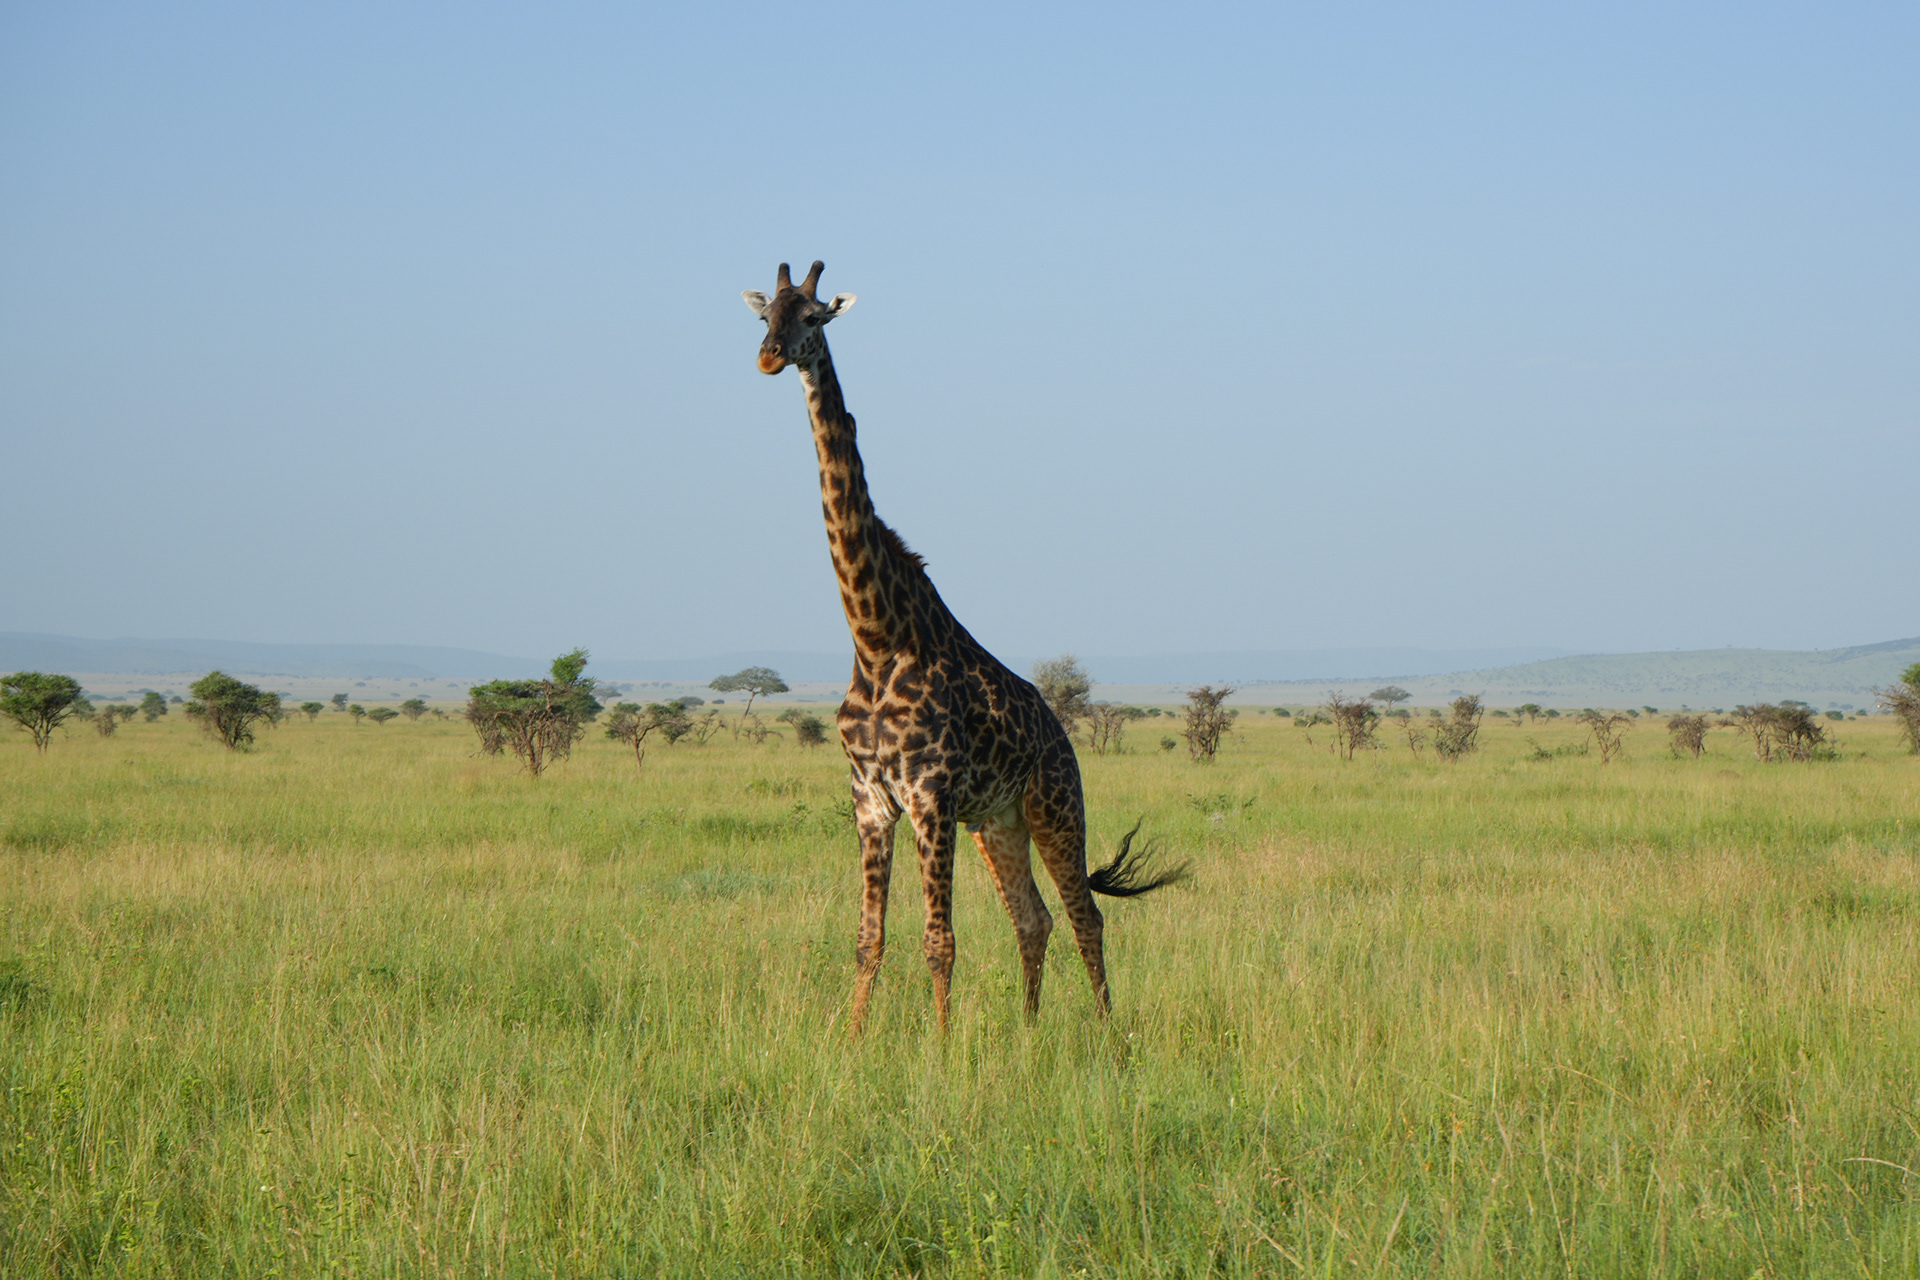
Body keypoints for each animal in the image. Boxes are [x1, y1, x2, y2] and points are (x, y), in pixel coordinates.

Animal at [743, 261, 1186, 1032]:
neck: (875, 636)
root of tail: (1061, 734)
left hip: (1054, 806)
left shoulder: (930, 795)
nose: (769, 357)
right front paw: (851, 1043)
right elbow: (869, 939)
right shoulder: (871, 799)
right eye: (765, 315)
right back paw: (1030, 1034)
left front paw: (942, 1050)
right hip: (996, 821)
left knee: (1085, 916)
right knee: (1033, 918)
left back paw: (1108, 1036)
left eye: (814, 319)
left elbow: (938, 941)